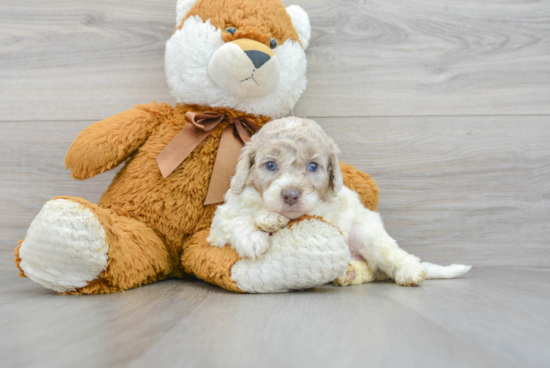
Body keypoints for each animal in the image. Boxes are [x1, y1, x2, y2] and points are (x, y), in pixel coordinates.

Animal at [209, 116, 472, 286]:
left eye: (313, 167)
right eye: (271, 165)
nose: (291, 194)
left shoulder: (325, 208)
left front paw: (268, 219)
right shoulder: (220, 222)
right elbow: (236, 219)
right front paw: (255, 236)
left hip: (369, 235)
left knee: (395, 258)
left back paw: (410, 272)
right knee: (372, 270)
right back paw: (349, 274)